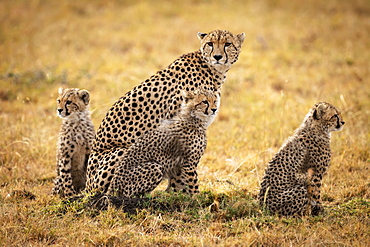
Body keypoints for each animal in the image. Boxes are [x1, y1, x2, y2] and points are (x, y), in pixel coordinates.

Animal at [85, 29, 244, 193]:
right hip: (124, 153)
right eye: (210, 44)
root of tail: (87, 185)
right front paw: (180, 192)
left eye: (228, 44)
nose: (217, 57)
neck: (213, 70)